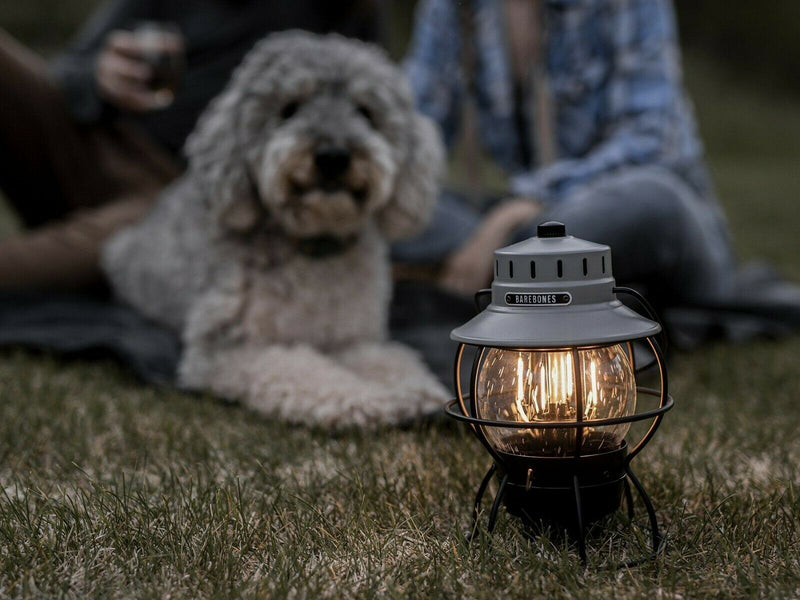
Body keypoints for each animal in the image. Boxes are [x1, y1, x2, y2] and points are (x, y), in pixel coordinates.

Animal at [102, 31, 446, 426]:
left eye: (365, 112)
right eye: (289, 108)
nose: (333, 156)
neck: (313, 248)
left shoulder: (352, 339)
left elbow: (392, 359)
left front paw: (415, 390)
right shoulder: (227, 347)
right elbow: (303, 369)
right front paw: (366, 399)